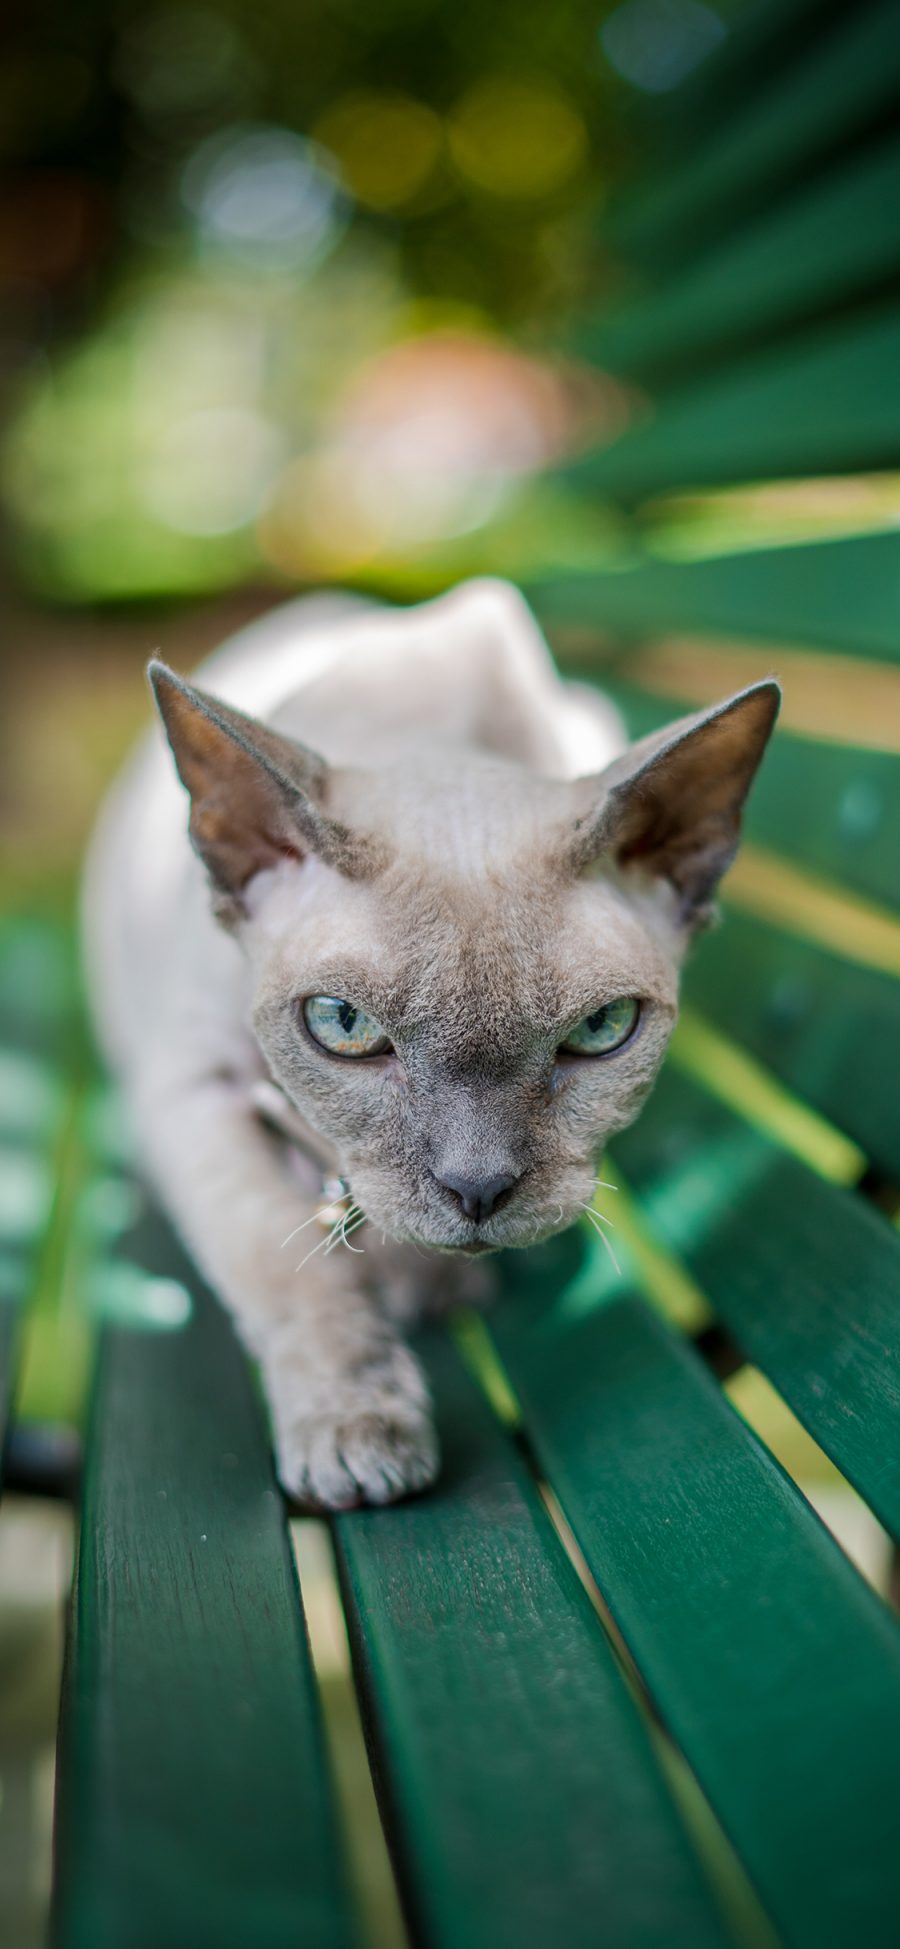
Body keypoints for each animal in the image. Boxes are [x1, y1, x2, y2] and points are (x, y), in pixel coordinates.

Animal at [80, 573, 775, 1504]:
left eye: (599, 1030)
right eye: (344, 1026)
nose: (477, 1189)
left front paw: (420, 1286)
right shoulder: (192, 1091)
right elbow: (287, 1268)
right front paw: (356, 1431)